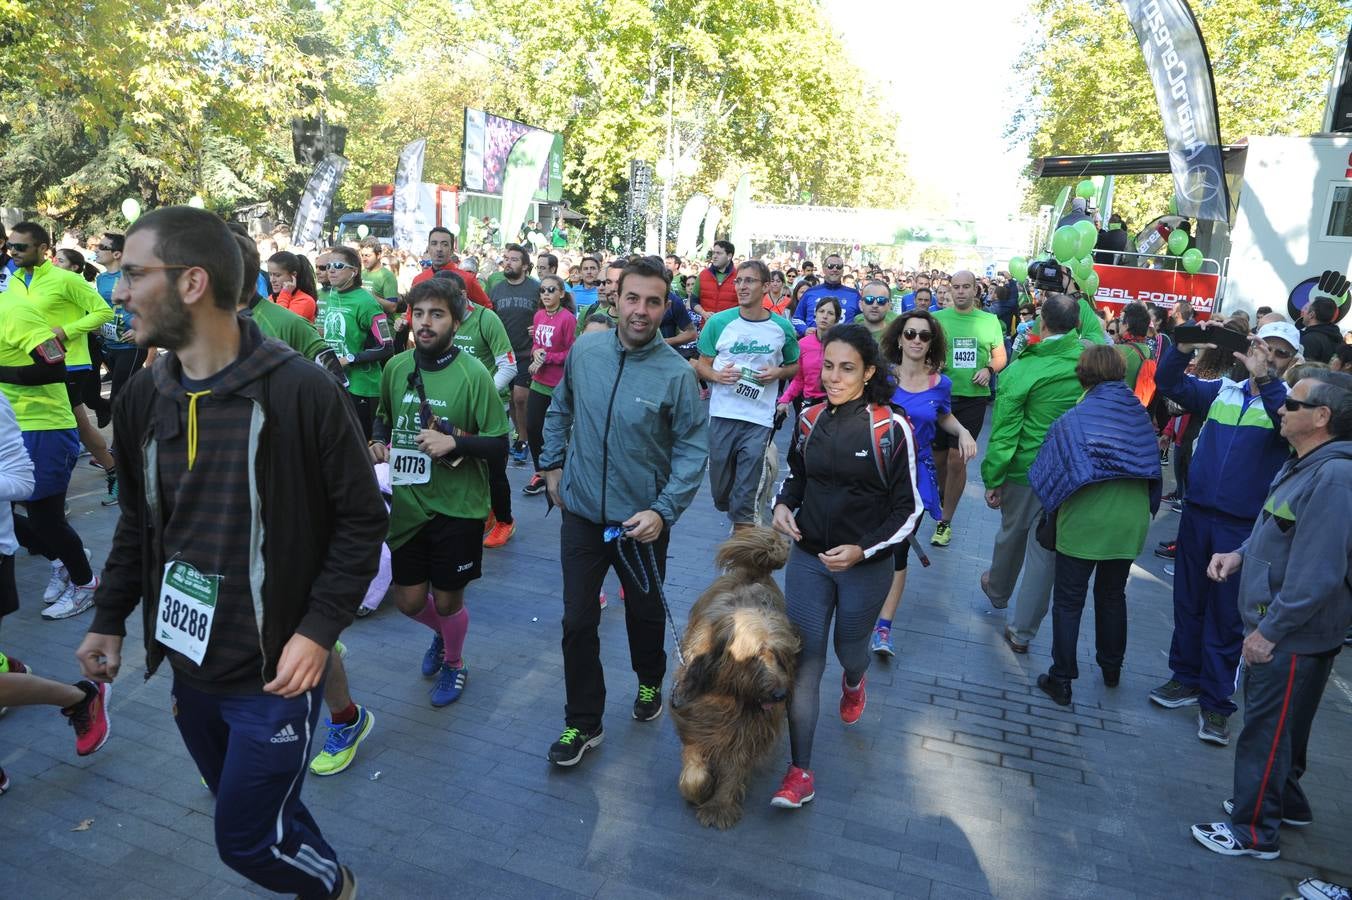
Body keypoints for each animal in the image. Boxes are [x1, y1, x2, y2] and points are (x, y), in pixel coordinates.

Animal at [670, 527, 794, 827]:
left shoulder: (751, 726)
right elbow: (695, 761)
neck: (729, 696)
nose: (780, 695)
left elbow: (736, 763)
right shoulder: (695, 716)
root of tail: (754, 572)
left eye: (781, 655)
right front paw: (698, 790)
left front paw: (720, 806)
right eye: (756, 655)